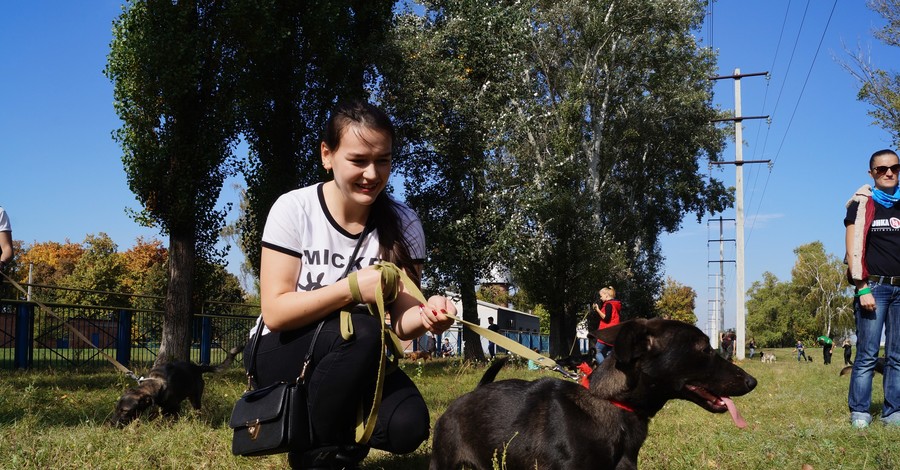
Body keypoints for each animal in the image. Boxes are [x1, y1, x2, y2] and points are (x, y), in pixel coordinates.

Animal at [110, 346, 241, 426]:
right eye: (116, 408)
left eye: (125, 411)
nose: (111, 423)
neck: (158, 382)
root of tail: (197, 368)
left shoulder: (174, 407)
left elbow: (163, 415)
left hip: (195, 398)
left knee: (197, 411)